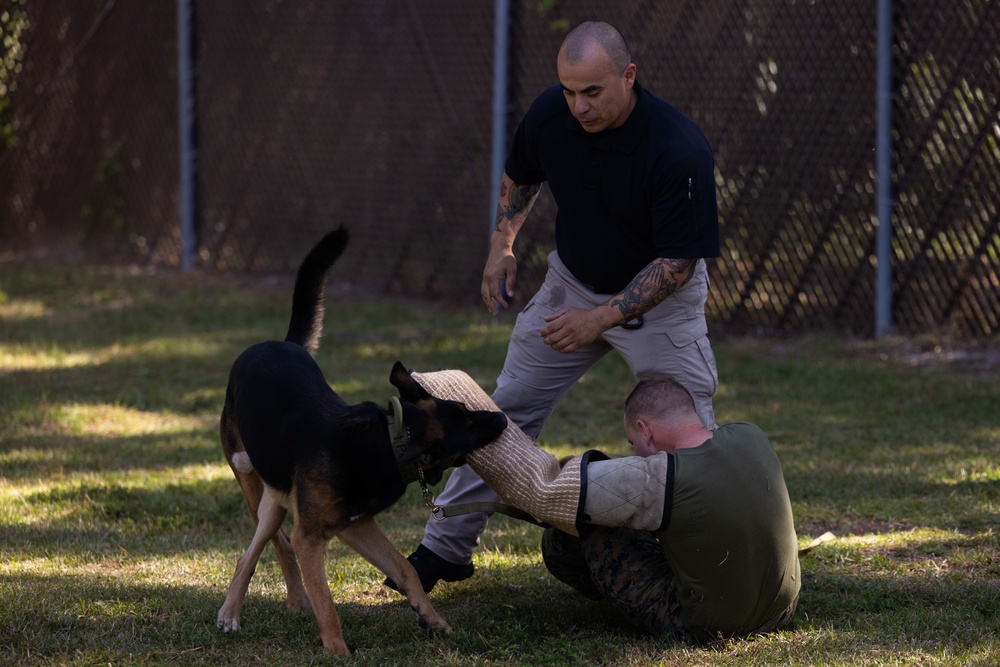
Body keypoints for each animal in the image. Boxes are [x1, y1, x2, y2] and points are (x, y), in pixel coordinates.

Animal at [214, 227, 504, 656]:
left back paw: (287, 601)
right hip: (253, 483)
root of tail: (277, 343)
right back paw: (233, 611)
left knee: (271, 545)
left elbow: (403, 568)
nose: (502, 418)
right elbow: (325, 599)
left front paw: (433, 619)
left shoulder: (356, 523)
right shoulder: (311, 536)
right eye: (468, 421)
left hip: (277, 499)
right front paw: (338, 650)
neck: (388, 442)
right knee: (263, 547)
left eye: (465, 408)